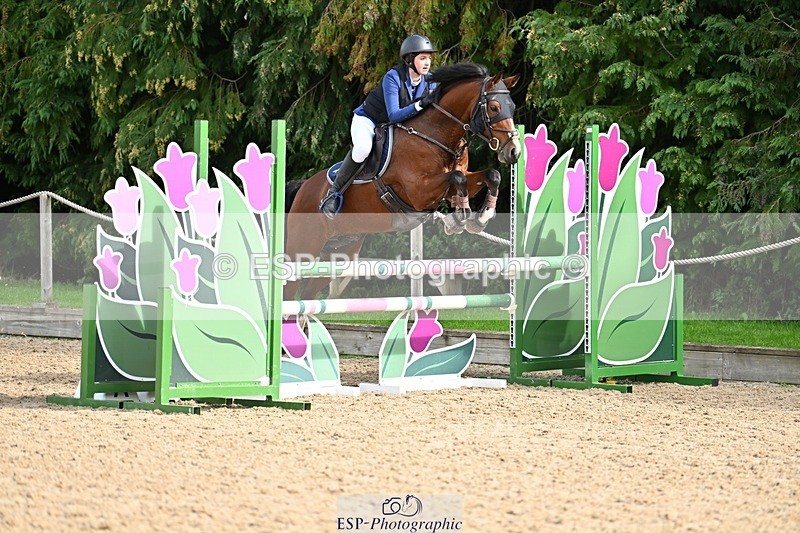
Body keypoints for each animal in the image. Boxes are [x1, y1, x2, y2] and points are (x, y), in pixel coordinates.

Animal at [284, 62, 521, 300]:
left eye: (512, 107)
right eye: (494, 108)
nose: (514, 152)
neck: (436, 135)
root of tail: (303, 187)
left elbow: (490, 175)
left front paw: (479, 218)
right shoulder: (419, 192)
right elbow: (457, 177)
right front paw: (459, 218)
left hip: (340, 253)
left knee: (308, 296)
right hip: (302, 247)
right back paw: (331, 202)